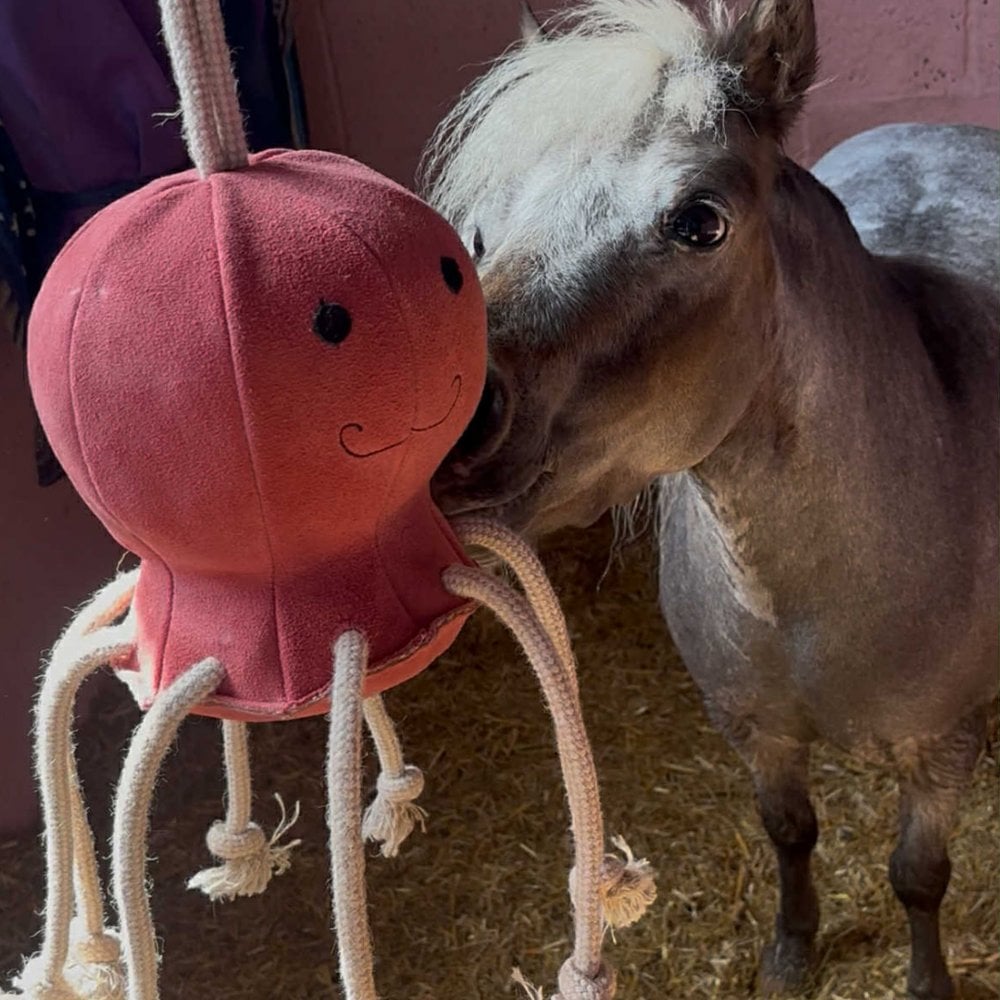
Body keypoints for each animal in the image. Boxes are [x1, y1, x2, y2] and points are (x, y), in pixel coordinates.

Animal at [422, 2, 999, 997]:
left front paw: (928, 981)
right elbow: (792, 835)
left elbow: (919, 878)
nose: (449, 417)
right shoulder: (756, 731)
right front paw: (791, 954)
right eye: (481, 237)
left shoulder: (942, 751)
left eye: (700, 221)